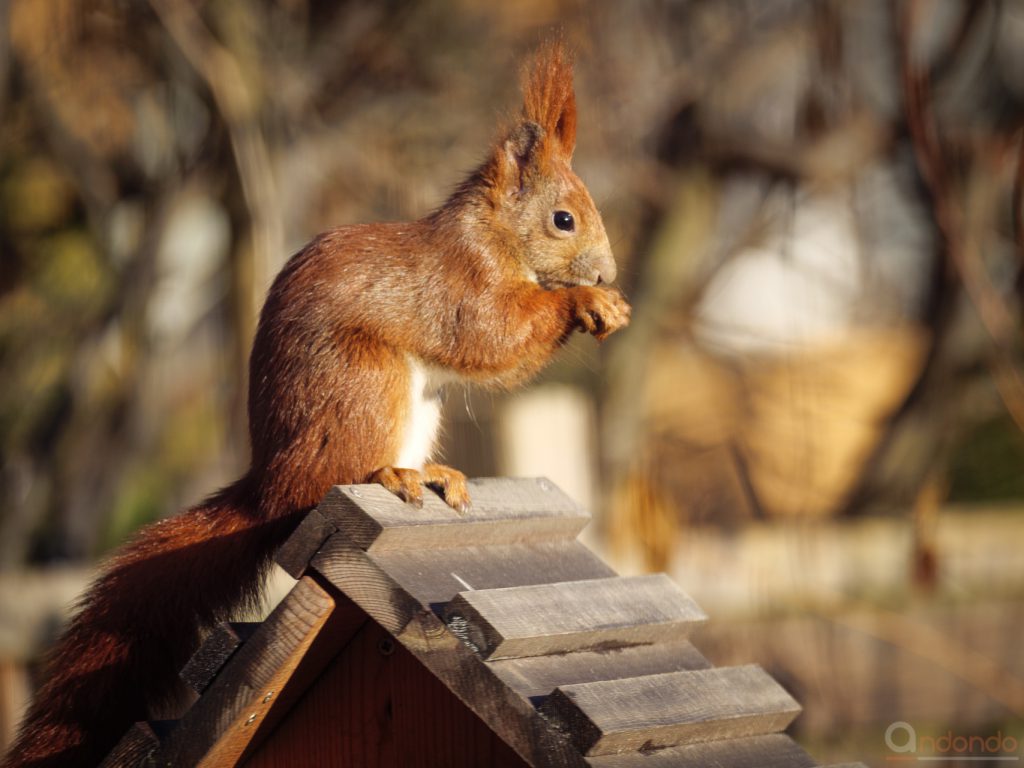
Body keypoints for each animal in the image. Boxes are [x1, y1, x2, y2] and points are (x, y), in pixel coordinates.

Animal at [4, 39, 626, 765]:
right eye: (563, 220)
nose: (608, 271)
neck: (494, 237)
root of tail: (269, 486)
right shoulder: (459, 285)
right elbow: (492, 333)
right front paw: (587, 302)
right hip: (365, 387)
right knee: (333, 476)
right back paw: (392, 473)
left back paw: (434, 473)